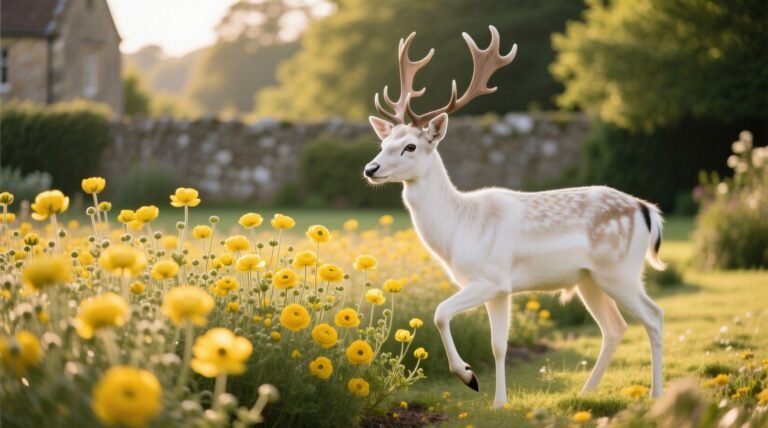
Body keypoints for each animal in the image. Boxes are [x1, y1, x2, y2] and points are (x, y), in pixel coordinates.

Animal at [363, 26, 666, 408]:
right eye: (383, 144)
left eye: (410, 146)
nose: (370, 169)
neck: (459, 229)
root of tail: (647, 211)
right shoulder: (499, 288)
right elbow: (498, 345)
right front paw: (498, 401)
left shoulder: (492, 277)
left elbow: (441, 313)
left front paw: (470, 378)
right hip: (589, 278)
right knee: (615, 327)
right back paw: (587, 391)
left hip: (620, 270)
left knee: (654, 316)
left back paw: (657, 394)